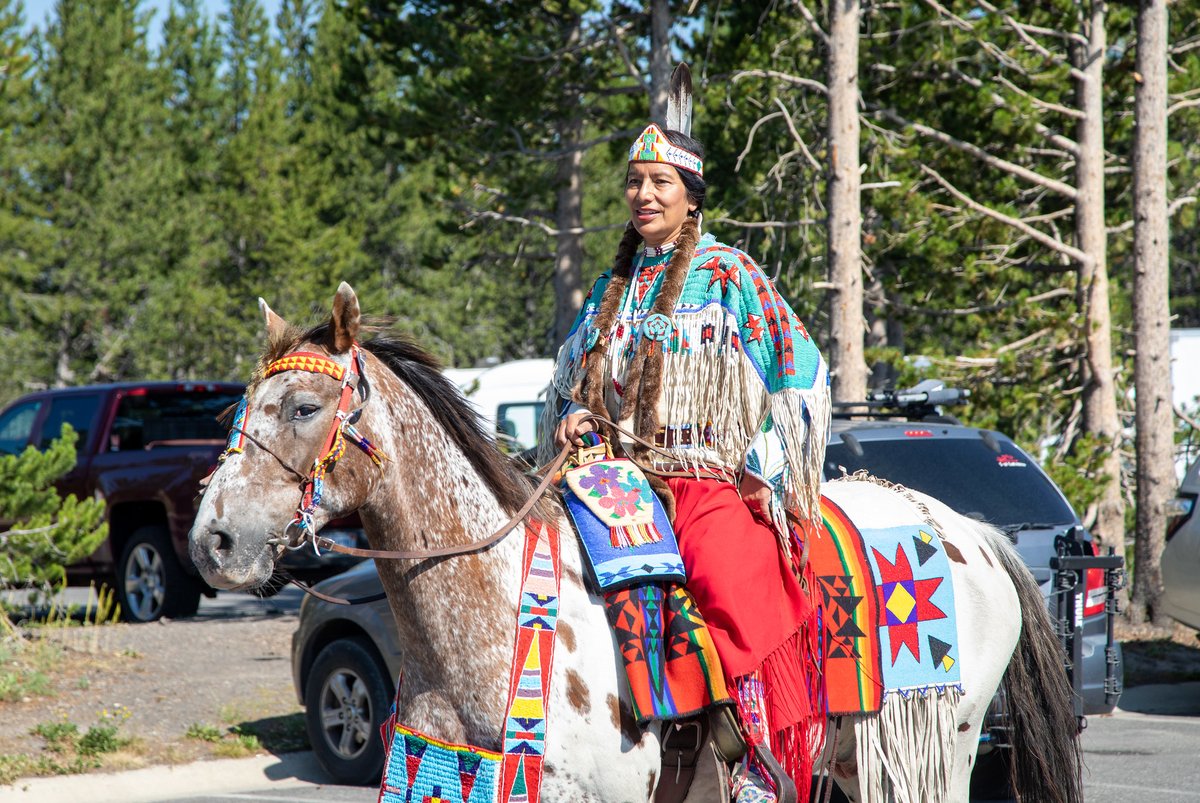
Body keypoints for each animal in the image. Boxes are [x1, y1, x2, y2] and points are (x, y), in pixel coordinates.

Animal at [189, 283, 1089, 801]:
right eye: (240, 407)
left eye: (304, 407)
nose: (213, 540)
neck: (497, 606)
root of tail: (971, 530)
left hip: (928, 750)